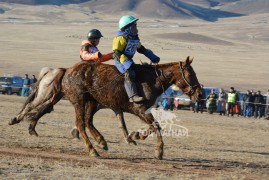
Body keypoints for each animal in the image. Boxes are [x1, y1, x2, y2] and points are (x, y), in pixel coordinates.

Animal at [61, 56, 201, 159]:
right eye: (190, 74)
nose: (199, 94)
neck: (153, 80)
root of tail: (68, 71)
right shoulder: (141, 110)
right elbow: (156, 126)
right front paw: (159, 151)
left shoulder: (144, 111)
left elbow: (154, 127)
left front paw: (136, 135)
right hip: (79, 102)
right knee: (81, 124)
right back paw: (92, 150)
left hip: (92, 103)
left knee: (88, 121)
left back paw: (101, 142)